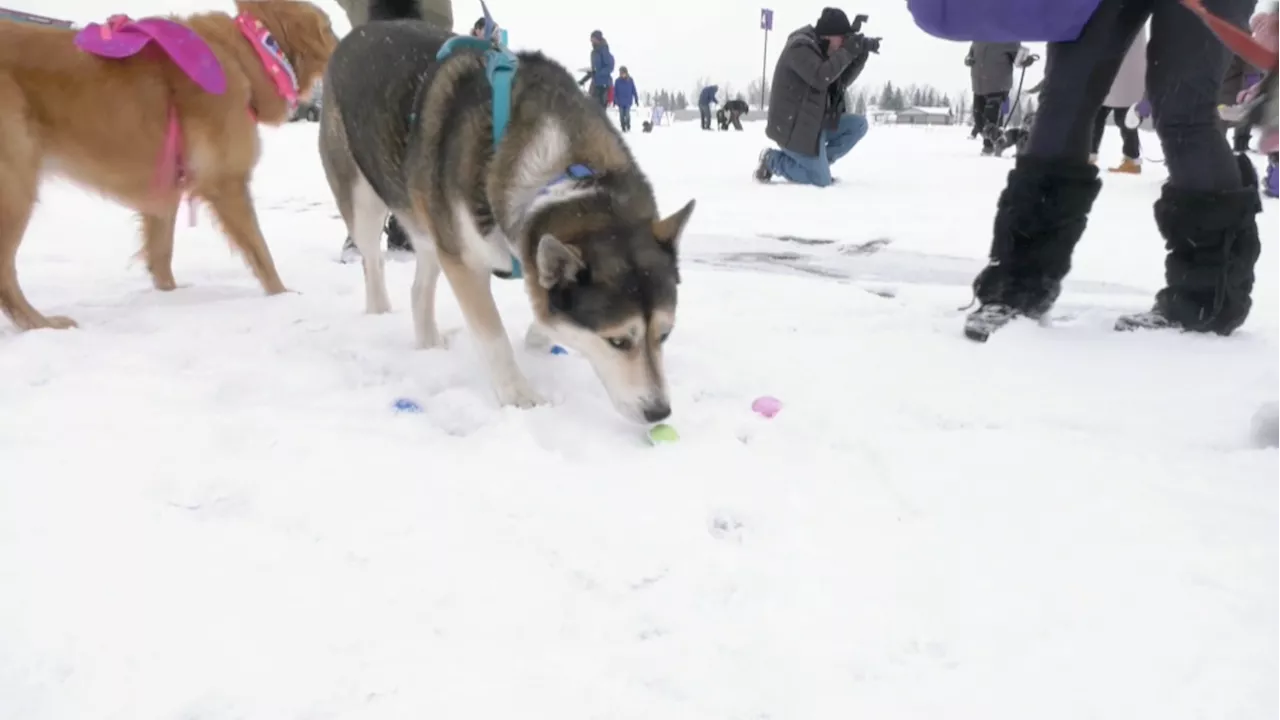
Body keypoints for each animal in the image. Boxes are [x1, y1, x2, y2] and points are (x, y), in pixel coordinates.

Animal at [0, 0, 335, 330]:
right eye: (330, 28)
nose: (345, 43)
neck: (251, 49)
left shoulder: (164, 190)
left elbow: (161, 253)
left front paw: (169, 297)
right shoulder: (227, 183)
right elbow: (260, 251)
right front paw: (283, 296)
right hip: (16, 186)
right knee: (5, 274)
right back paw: (40, 323)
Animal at [325, 22, 696, 420]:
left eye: (664, 334)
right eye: (617, 341)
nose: (659, 412)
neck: (566, 173)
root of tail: (358, 33)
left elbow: (543, 305)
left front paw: (538, 337)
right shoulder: (465, 263)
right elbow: (493, 335)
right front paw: (518, 395)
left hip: (430, 226)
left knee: (419, 285)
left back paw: (428, 342)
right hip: (364, 201)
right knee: (373, 263)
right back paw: (379, 312)